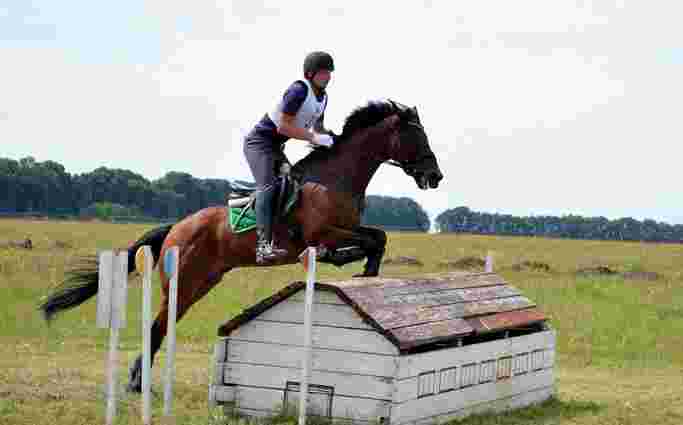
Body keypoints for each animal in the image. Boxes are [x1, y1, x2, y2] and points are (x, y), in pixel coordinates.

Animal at [38, 98, 444, 390]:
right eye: (416, 138)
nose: (436, 176)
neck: (336, 179)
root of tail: (176, 227)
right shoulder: (322, 233)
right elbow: (362, 242)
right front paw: (352, 261)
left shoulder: (349, 227)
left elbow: (378, 237)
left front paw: (369, 271)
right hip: (184, 281)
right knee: (157, 325)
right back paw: (138, 383)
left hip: (201, 283)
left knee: (163, 326)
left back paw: (139, 380)